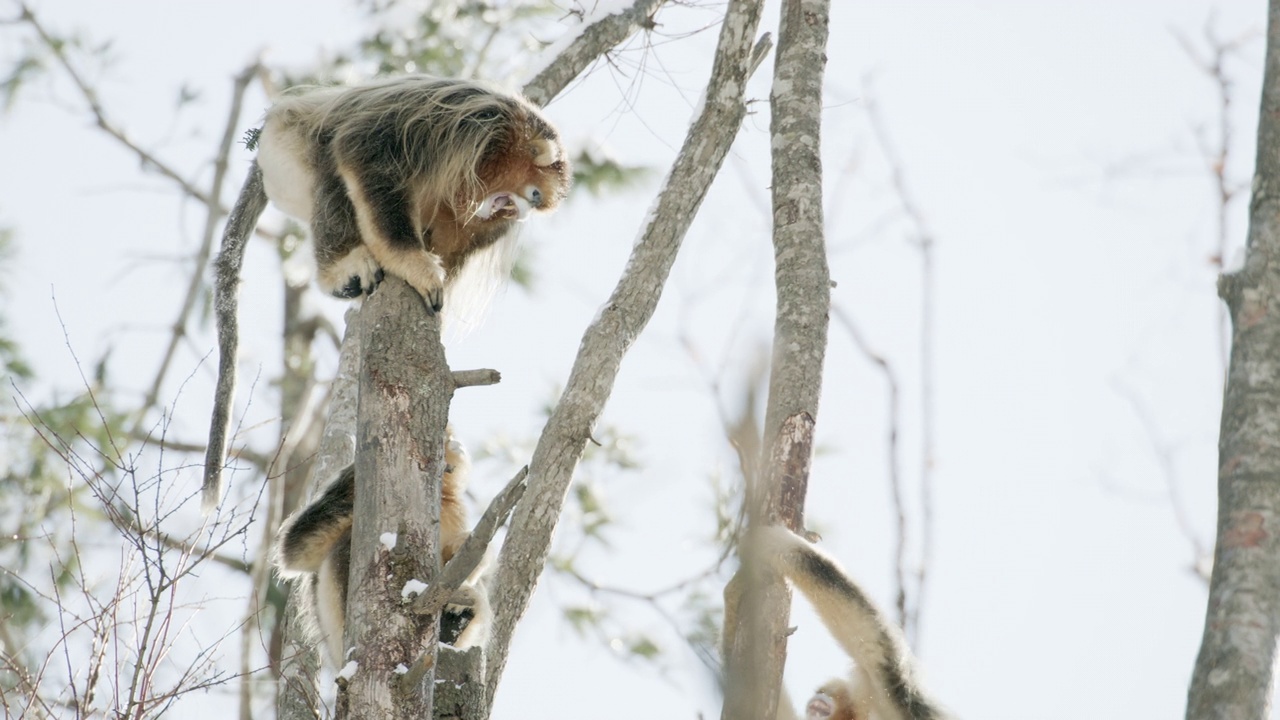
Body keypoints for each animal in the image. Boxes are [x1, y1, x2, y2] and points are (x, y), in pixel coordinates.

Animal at [202, 75, 573, 507]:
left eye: (528, 206)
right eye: (534, 195)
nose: (521, 213)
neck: (497, 149)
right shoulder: (466, 124)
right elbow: (365, 151)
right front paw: (414, 265)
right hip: (288, 149)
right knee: (331, 164)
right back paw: (340, 270)